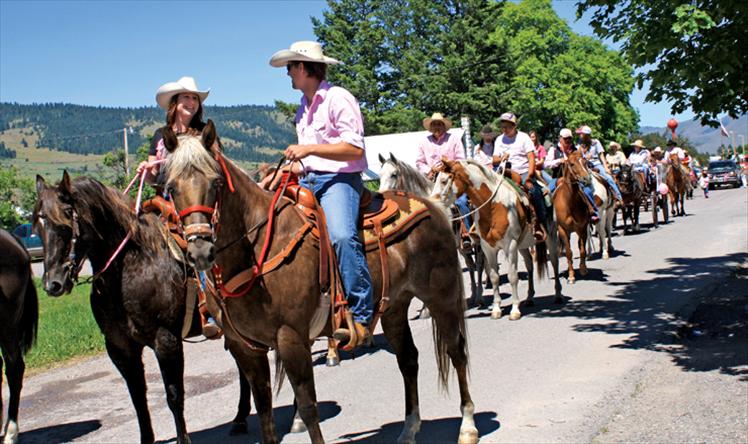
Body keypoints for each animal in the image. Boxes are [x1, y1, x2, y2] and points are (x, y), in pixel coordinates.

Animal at [32, 173, 253, 444]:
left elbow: (174, 395)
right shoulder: (120, 348)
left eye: (65, 218)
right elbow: (138, 399)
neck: (132, 269)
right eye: (38, 225)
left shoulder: (166, 340)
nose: (53, 283)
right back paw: (240, 418)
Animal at [376, 153, 488, 306]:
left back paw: (480, 296)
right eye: (379, 175)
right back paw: (473, 295)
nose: (382, 197)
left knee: (480, 265)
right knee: (471, 265)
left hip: (477, 243)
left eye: (394, 174)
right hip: (462, 247)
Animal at [430, 159, 560, 320]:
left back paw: (558, 295)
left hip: (551, 236)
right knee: (529, 264)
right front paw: (496, 309)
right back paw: (529, 298)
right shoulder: (488, 248)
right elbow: (494, 277)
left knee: (554, 261)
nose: (432, 204)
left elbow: (512, 276)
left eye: (444, 181)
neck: (493, 207)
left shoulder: (510, 246)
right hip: (522, 245)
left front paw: (515, 310)